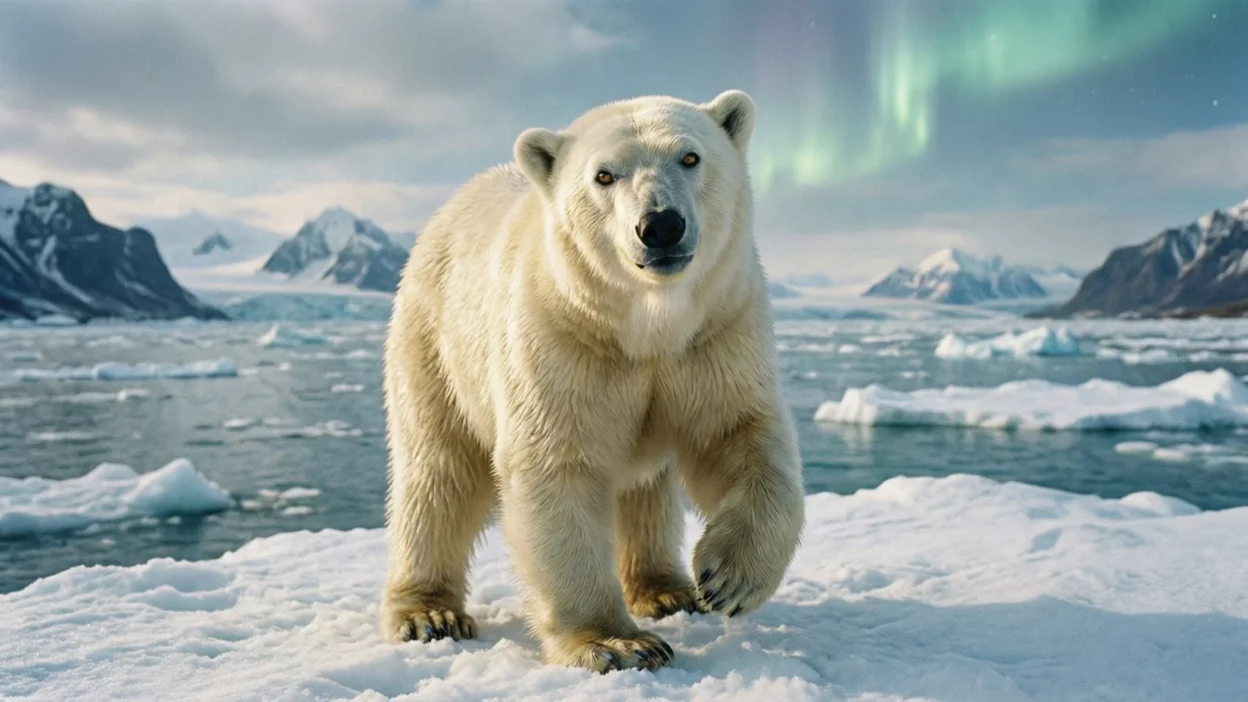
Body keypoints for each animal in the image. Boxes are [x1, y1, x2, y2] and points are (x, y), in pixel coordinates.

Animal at [380, 89, 805, 673]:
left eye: (690, 157)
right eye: (604, 175)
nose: (661, 225)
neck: (645, 327)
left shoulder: (715, 335)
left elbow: (739, 435)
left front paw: (726, 578)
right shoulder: (562, 341)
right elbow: (559, 467)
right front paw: (618, 644)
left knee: (647, 487)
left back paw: (666, 589)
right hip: (436, 345)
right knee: (438, 471)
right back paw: (428, 614)